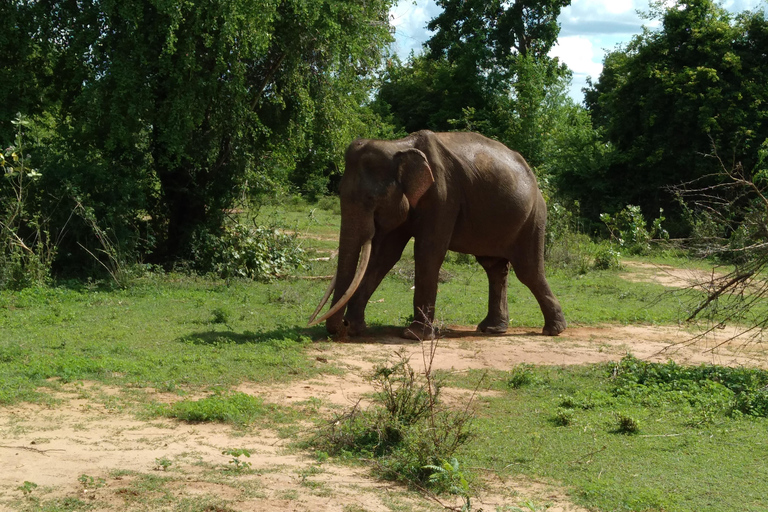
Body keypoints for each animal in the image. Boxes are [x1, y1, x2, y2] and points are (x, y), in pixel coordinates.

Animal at [306, 131, 564, 340]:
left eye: (371, 199)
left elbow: (427, 252)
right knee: (494, 267)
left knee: (528, 270)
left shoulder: (443, 194)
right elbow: (384, 255)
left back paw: (553, 330)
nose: (342, 328)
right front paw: (356, 329)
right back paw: (491, 329)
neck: (398, 146)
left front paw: (414, 336)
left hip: (534, 217)